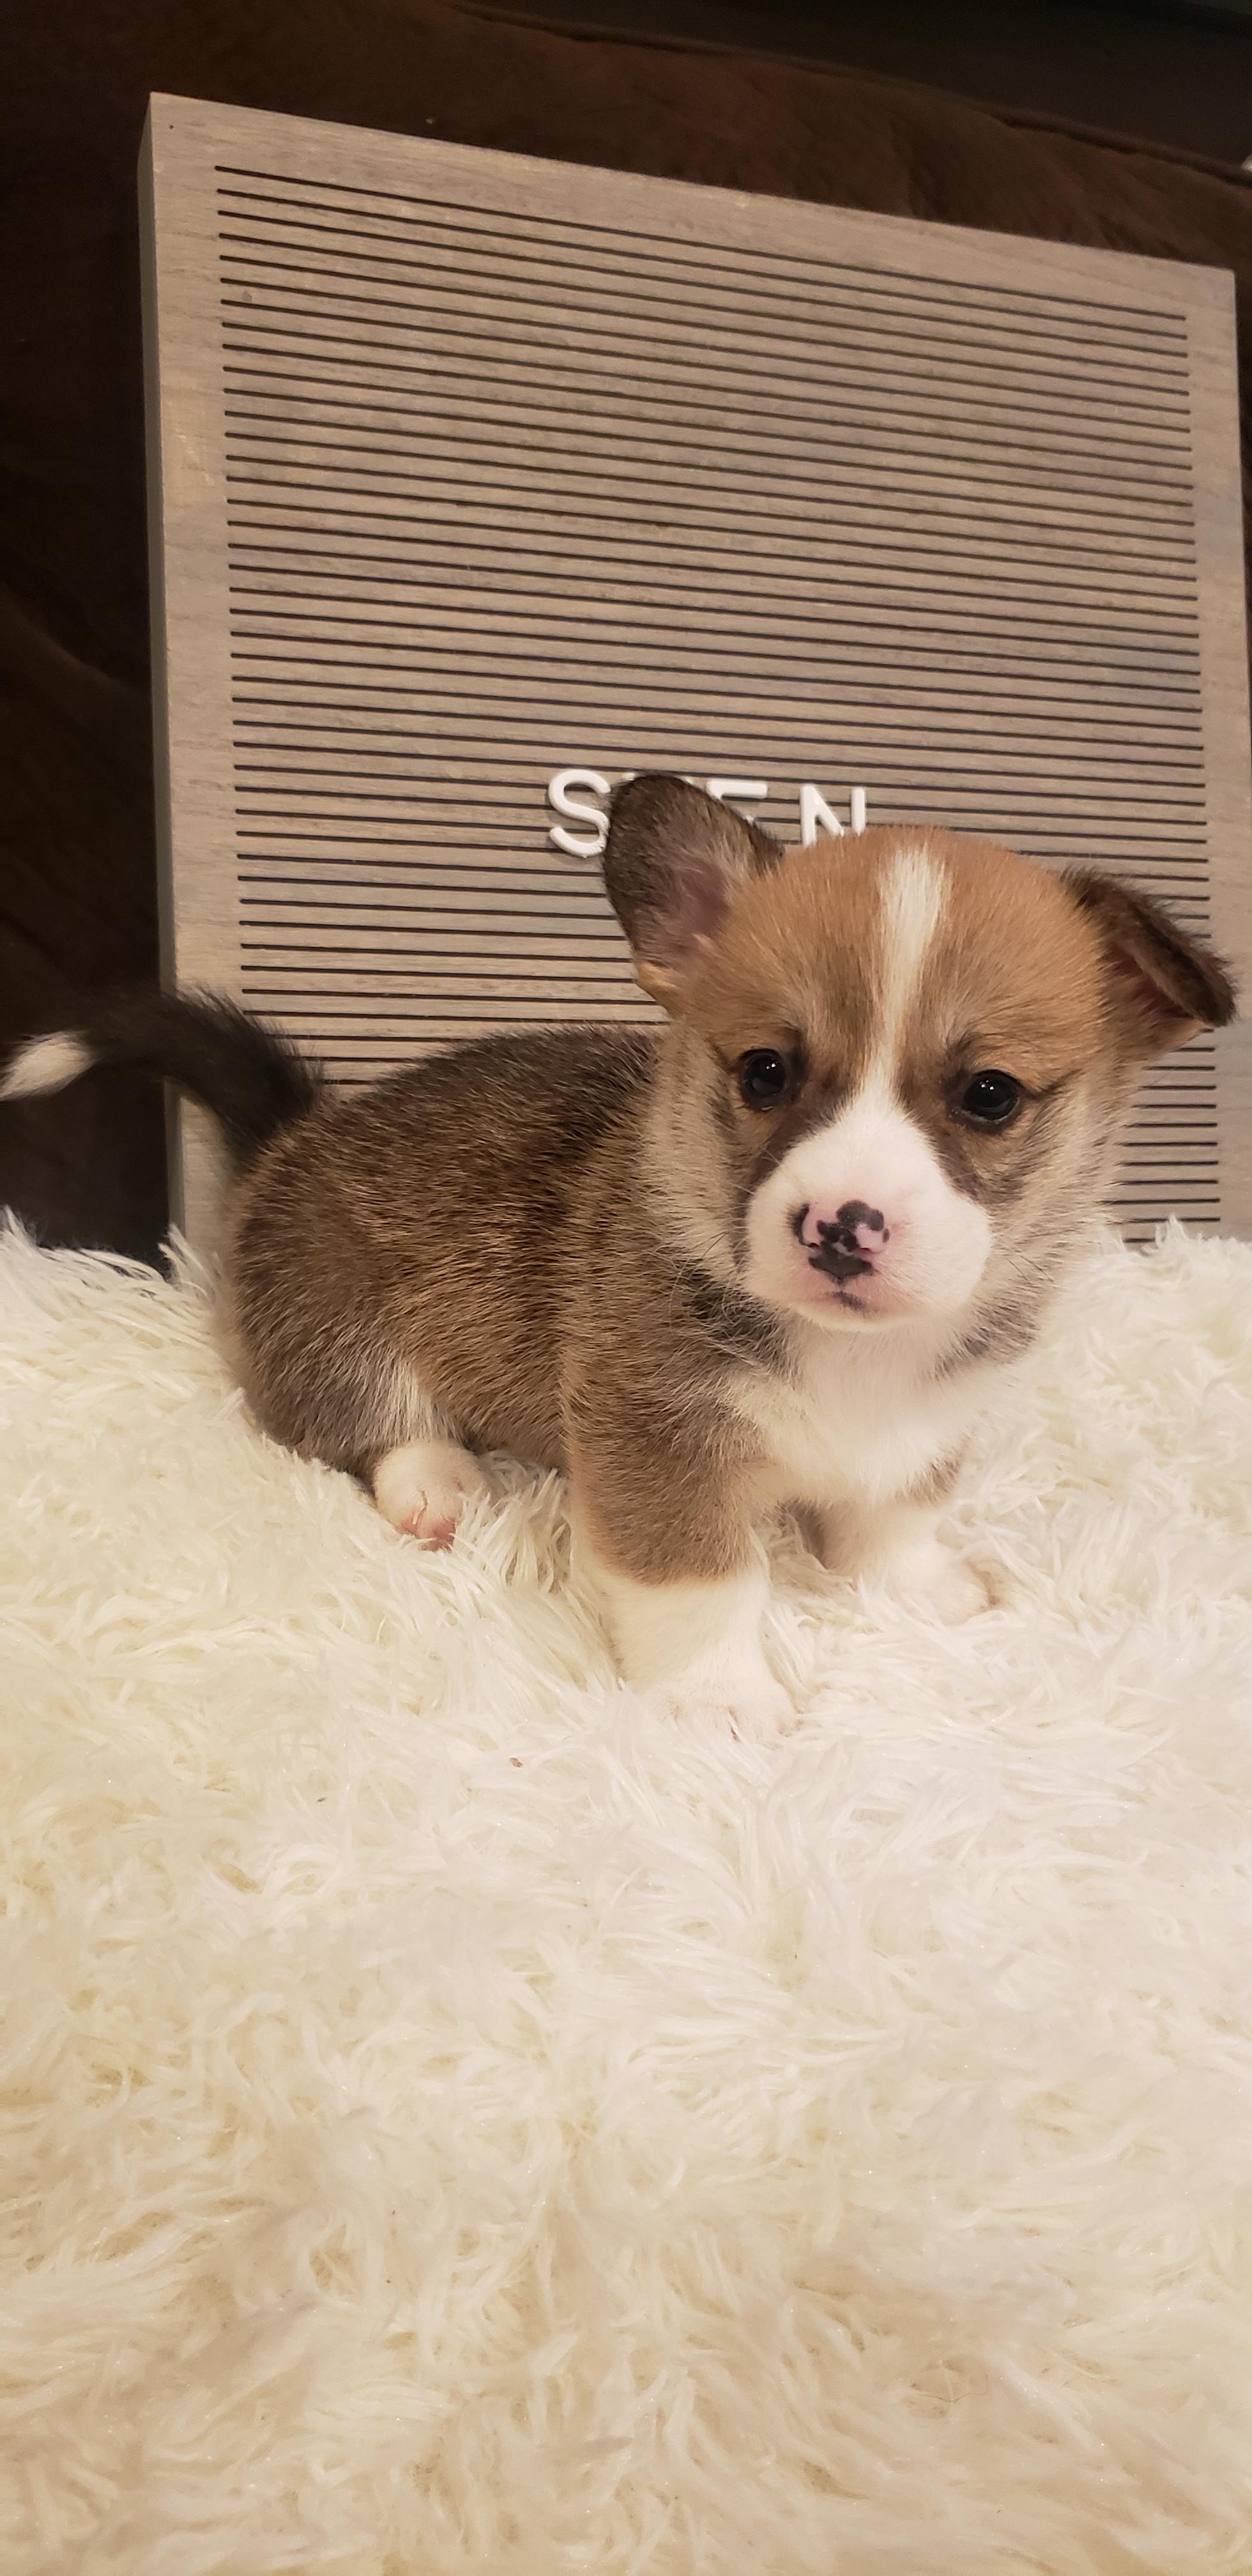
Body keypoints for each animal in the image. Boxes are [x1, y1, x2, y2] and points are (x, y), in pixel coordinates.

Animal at [2, 774, 1235, 1728]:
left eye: (990, 1095)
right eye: (766, 1072)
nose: (840, 1226)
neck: (845, 1352)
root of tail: (295, 1134)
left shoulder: (927, 1427)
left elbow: (894, 1521)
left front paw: (921, 1588)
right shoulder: (657, 1444)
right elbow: (705, 1582)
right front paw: (721, 1700)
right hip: (334, 1315)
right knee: (361, 1419)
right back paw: (438, 1483)